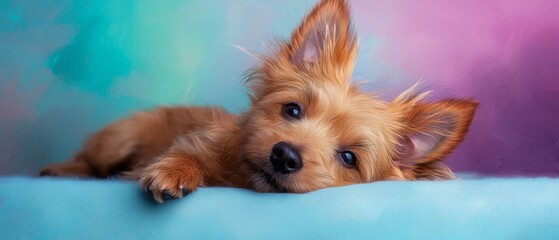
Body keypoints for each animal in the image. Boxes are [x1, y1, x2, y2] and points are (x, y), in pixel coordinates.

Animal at [39, 0, 476, 202]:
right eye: (292, 110)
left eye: (349, 158)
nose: (285, 155)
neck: (241, 178)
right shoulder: (199, 141)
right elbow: (186, 152)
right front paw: (175, 171)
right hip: (118, 139)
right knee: (89, 159)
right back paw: (63, 169)